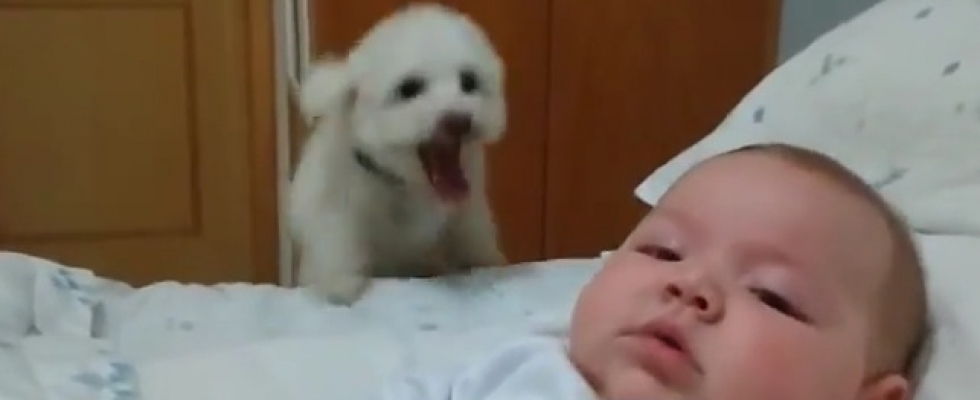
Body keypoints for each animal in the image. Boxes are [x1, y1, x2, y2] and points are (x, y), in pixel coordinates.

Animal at [288, 3, 509, 305]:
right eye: (409, 88)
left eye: (469, 81)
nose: (459, 120)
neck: (405, 185)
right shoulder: (335, 202)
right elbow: (338, 239)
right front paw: (342, 285)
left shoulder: (468, 203)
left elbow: (470, 234)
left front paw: (481, 260)